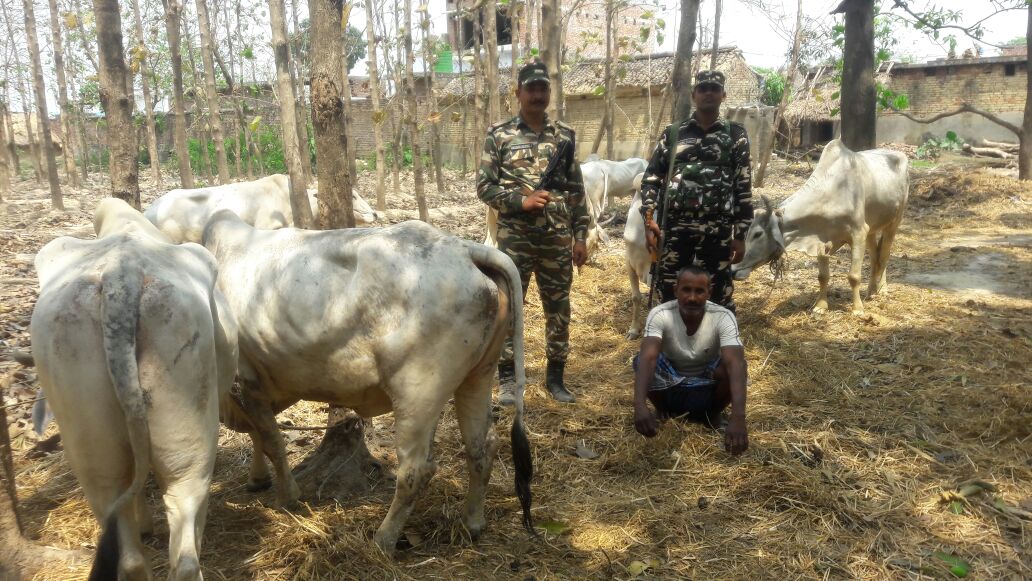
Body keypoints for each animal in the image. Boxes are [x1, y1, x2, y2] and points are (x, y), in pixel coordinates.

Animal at [201, 212, 532, 553]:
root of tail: (465, 249)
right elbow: (259, 436)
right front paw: (259, 480)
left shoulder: (244, 383)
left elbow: (271, 442)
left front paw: (287, 497)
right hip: (477, 375)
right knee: (482, 448)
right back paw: (472, 522)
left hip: (418, 390)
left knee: (416, 469)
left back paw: (384, 539)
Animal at [730, 140, 908, 313]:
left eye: (758, 234)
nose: (733, 269)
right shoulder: (821, 239)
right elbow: (823, 277)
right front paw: (820, 307)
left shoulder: (858, 233)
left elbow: (854, 276)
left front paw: (857, 309)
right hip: (872, 229)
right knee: (874, 257)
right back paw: (871, 291)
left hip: (895, 222)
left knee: (884, 255)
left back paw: (881, 290)